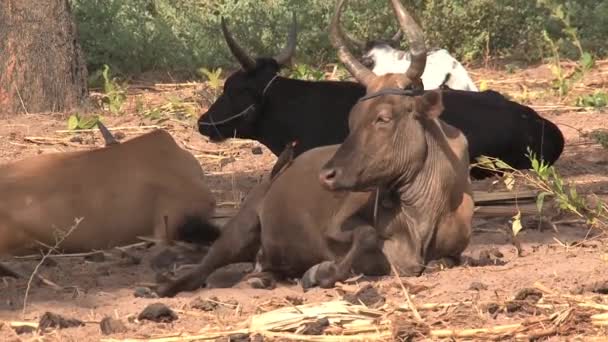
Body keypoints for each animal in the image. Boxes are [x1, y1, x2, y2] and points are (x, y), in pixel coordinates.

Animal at [154, 0, 472, 296]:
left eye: (384, 117)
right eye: (352, 117)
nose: (328, 175)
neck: (422, 214)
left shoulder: (452, 253)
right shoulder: (336, 227)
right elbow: (365, 235)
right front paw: (321, 272)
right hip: (236, 232)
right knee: (200, 270)